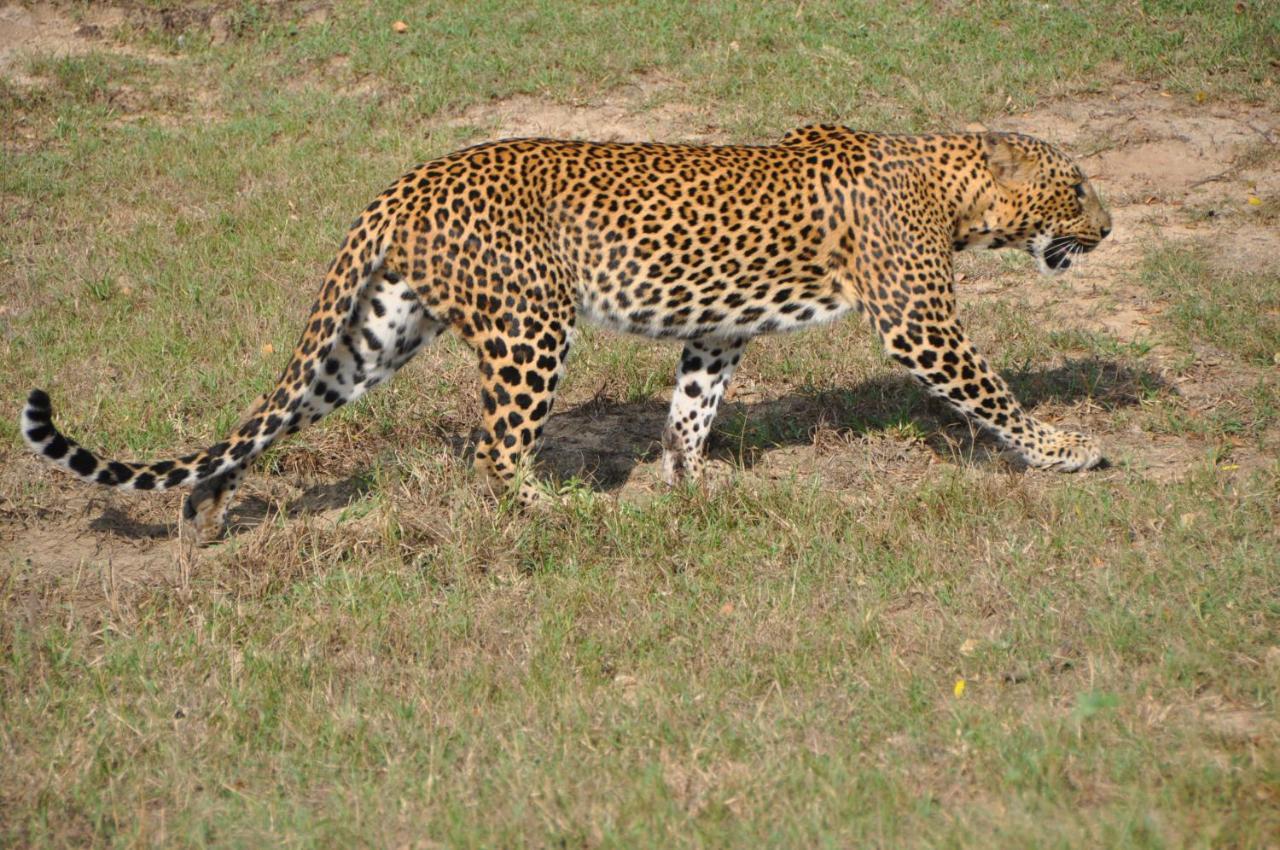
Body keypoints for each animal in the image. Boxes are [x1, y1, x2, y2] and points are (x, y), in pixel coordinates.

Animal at [20, 126, 1111, 545]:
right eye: (1078, 188)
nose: (1110, 227)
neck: (952, 187)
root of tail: (406, 182)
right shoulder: (920, 325)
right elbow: (996, 394)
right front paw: (1070, 451)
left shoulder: (718, 332)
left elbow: (691, 409)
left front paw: (687, 487)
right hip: (528, 328)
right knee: (497, 451)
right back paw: (552, 516)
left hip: (381, 332)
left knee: (274, 412)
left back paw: (206, 505)